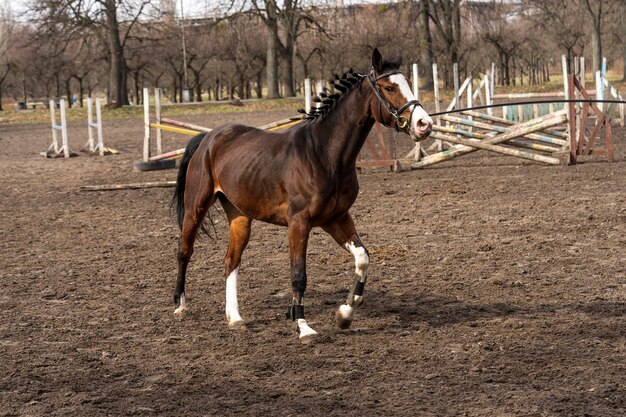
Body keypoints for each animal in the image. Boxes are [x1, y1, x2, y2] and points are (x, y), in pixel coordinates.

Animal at [172, 48, 434, 342]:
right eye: (389, 87)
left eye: (408, 83)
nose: (424, 124)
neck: (325, 154)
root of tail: (207, 138)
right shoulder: (299, 222)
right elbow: (299, 275)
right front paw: (304, 327)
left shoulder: (337, 219)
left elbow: (363, 257)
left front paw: (344, 314)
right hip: (196, 206)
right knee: (185, 251)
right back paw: (180, 306)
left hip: (240, 216)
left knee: (231, 260)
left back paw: (235, 318)